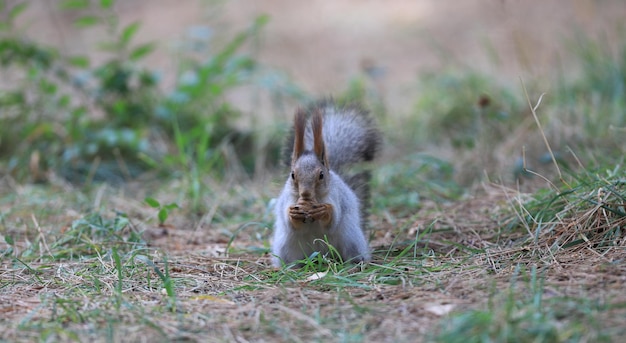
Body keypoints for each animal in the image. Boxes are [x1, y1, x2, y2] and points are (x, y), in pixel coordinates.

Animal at [270, 102, 380, 268]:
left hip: (351, 240)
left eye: (321, 175)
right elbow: (290, 222)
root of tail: (319, 256)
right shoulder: (288, 198)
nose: (305, 194)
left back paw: (355, 264)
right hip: (285, 248)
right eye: (292, 175)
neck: (314, 199)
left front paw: (323, 210)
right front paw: (292, 213)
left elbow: (333, 219)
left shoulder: (336, 196)